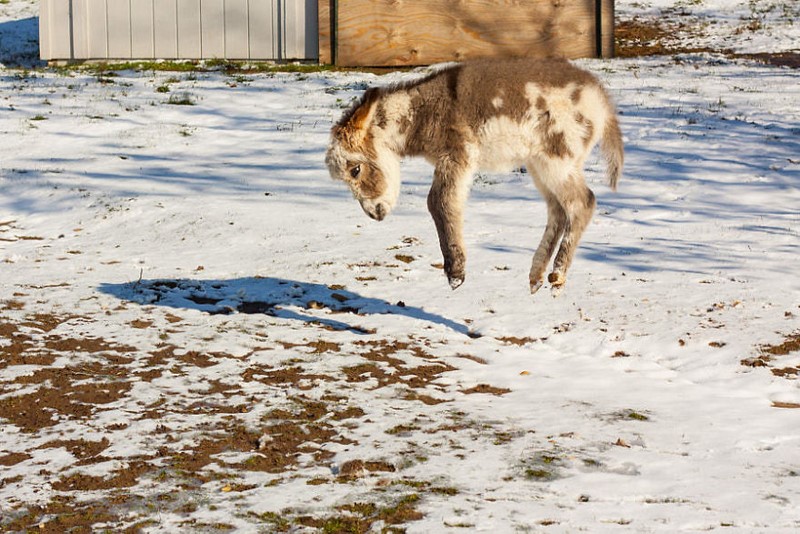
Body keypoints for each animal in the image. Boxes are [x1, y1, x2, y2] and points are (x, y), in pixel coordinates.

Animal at [326, 58, 624, 296]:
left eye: (355, 170)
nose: (373, 214)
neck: (426, 111)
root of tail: (601, 99)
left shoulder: (457, 154)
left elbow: (439, 201)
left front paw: (455, 273)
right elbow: (443, 202)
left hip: (557, 158)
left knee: (583, 203)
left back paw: (558, 275)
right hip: (540, 164)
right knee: (559, 211)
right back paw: (537, 276)